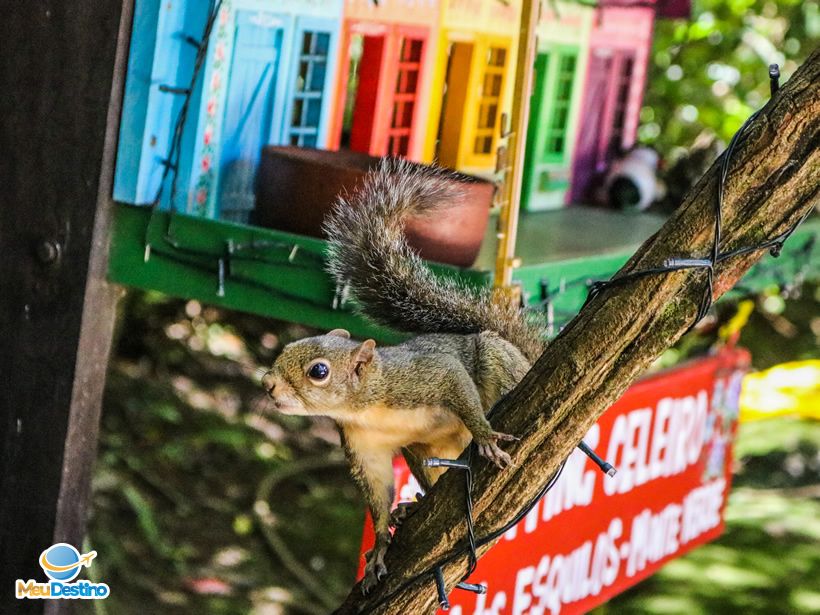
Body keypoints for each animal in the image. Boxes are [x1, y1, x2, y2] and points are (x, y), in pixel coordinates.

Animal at [260, 159, 548, 592]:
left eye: (319, 371)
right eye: (287, 350)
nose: (267, 383)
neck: (366, 406)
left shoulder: (423, 376)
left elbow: (455, 381)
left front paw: (485, 437)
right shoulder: (365, 447)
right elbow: (377, 492)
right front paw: (381, 543)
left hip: (496, 360)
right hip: (422, 451)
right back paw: (410, 508)